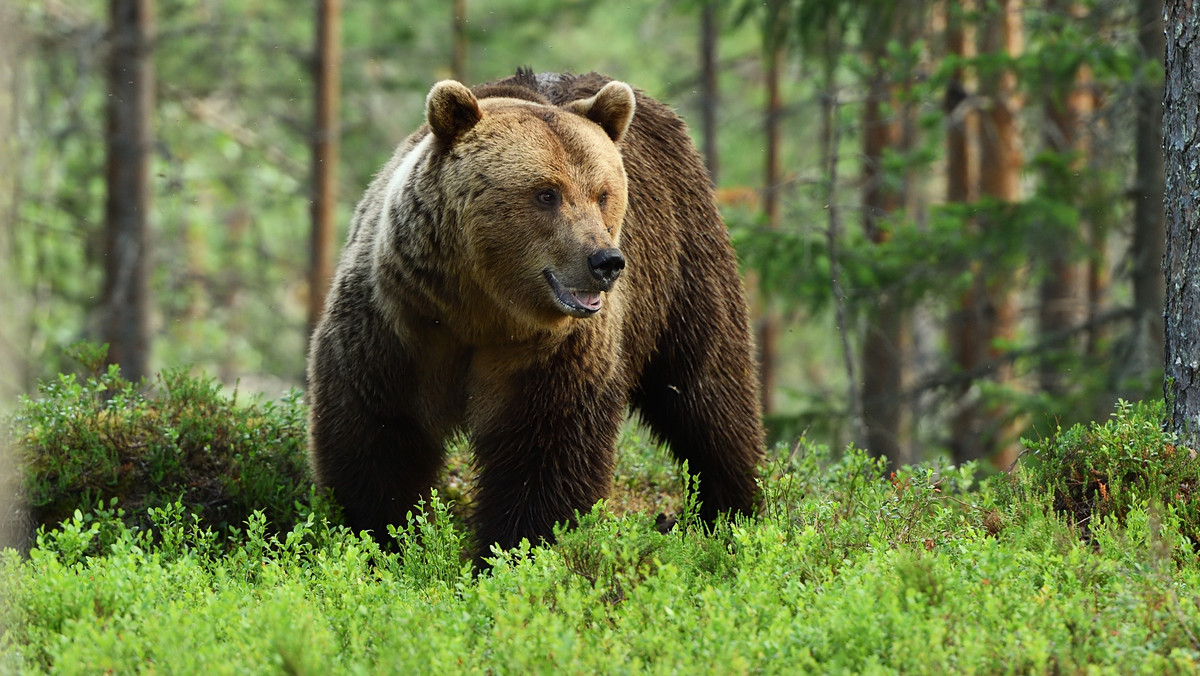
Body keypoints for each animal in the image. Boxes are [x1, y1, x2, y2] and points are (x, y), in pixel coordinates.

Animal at [304, 70, 763, 566]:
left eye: (603, 194)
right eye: (547, 193)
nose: (606, 262)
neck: (481, 310)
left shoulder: (552, 351)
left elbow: (545, 452)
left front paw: (515, 549)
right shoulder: (397, 324)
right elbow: (378, 434)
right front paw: (379, 539)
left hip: (682, 262)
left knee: (708, 391)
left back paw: (733, 512)